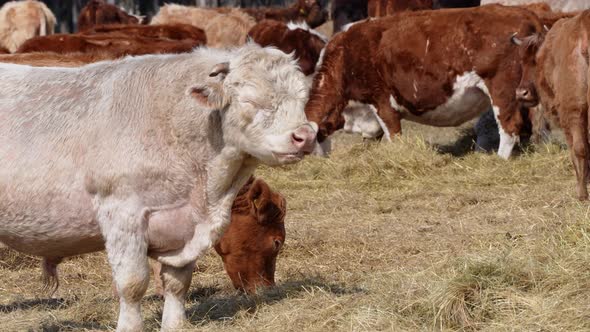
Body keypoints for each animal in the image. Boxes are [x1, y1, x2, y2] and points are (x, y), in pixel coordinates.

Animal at [0, 42, 320, 330]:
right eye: (250, 102)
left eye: (302, 99)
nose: (304, 136)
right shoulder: (122, 213)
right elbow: (132, 284)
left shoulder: (183, 226)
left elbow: (177, 284)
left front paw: (175, 323)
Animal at [308, 4, 548, 158]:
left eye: (305, 140)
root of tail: (525, 14)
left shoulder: (382, 102)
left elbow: (394, 135)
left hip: (503, 91)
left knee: (509, 127)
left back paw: (499, 159)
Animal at [516, 11, 590, 200]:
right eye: (521, 60)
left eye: (535, 60)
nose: (521, 93)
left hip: (574, 111)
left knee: (579, 148)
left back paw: (582, 194)